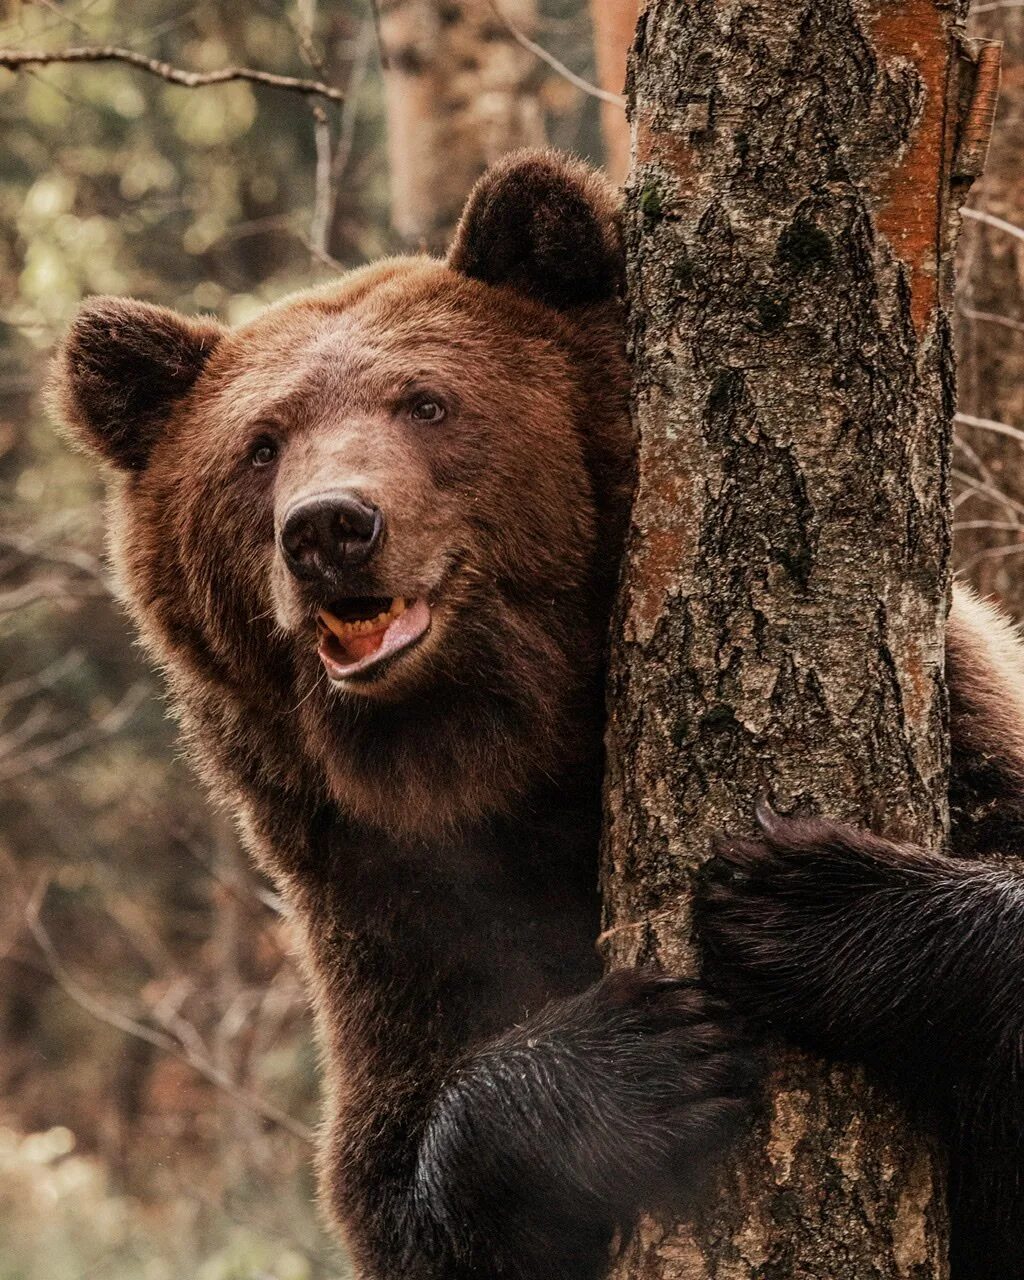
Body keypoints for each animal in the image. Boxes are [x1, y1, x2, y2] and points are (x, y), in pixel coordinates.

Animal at [51, 149, 1024, 1280]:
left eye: (425, 402)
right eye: (259, 445)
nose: (329, 527)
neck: (495, 748)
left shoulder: (976, 731)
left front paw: (799, 894)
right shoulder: (393, 904)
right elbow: (397, 1179)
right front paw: (641, 1056)